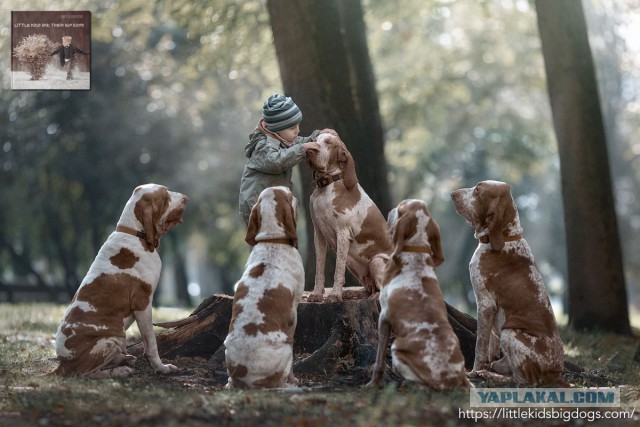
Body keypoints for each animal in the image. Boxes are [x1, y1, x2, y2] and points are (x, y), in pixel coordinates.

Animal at [53, 184, 188, 378]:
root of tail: (62, 364)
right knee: (88, 374)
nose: (186, 198)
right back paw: (120, 370)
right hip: (110, 340)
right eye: (165, 195)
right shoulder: (143, 304)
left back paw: (125, 359)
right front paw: (162, 368)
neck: (135, 233)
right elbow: (151, 344)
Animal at [225, 186, 304, 390]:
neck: (273, 240)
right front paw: (294, 379)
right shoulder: (294, 314)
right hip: (286, 348)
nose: (295, 194)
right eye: (290, 195)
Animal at [304, 129, 390, 302]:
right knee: (369, 288)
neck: (326, 188)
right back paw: (353, 293)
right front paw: (317, 294)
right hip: (355, 266)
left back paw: (374, 296)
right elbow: (319, 269)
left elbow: (338, 271)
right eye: (315, 140)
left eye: (329, 143)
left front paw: (334, 295)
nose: (310, 151)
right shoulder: (319, 235)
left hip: (377, 261)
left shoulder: (343, 234)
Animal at [368, 200, 468, 392]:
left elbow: (379, 360)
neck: (415, 250)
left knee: (421, 386)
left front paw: (373, 384)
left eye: (400, 208)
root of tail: (452, 380)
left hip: (396, 350)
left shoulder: (384, 317)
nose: (389, 211)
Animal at [450, 181, 564, 388]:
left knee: (522, 381)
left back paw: (490, 376)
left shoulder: (485, 304)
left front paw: (473, 372)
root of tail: (556, 373)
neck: (506, 238)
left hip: (509, 333)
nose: (452, 194)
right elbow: (490, 346)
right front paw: (484, 365)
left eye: (478, 189)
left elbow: (480, 346)